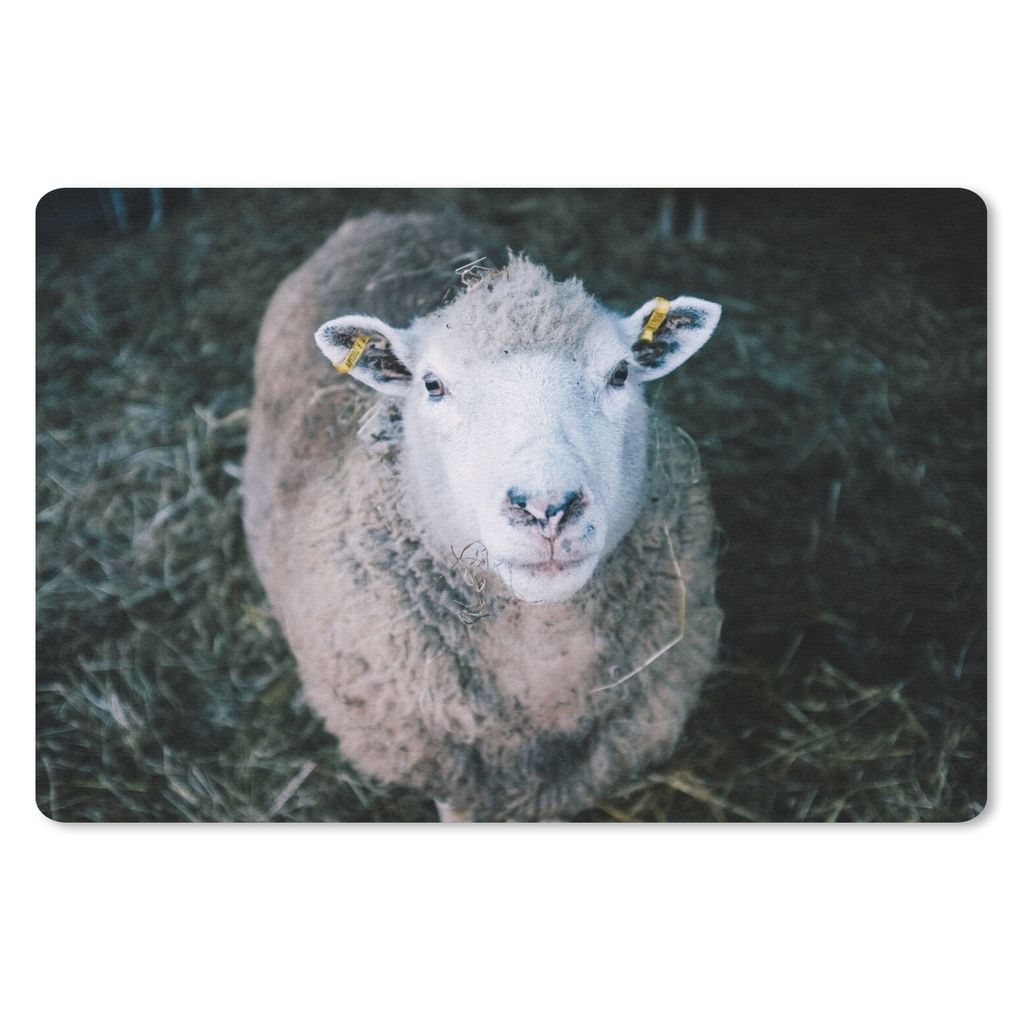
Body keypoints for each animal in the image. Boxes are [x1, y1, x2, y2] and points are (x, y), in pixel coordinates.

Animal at [242, 211, 724, 821]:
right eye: (432, 385)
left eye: (619, 374)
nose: (547, 508)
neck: (542, 660)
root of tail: (388, 217)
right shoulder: (447, 769)